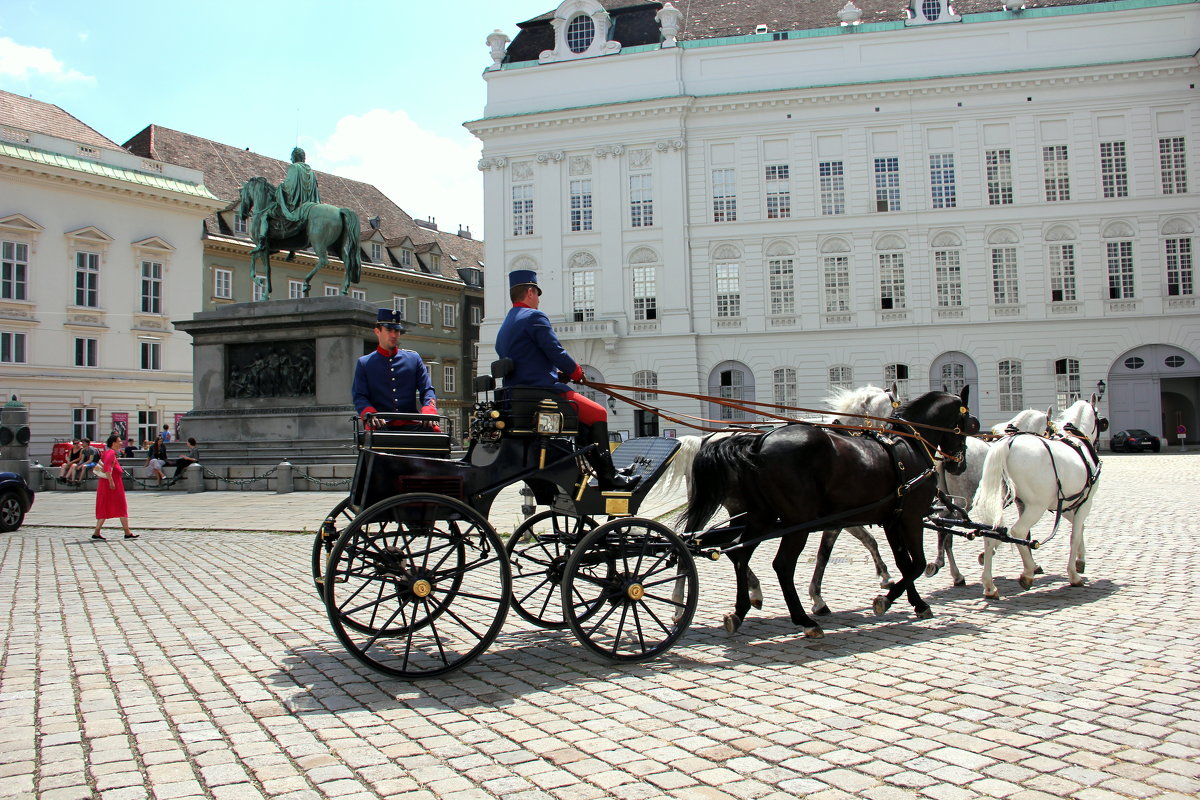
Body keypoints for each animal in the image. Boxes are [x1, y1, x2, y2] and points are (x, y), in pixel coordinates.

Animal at [667, 383, 902, 618]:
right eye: (898, 410)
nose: (897, 441)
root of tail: (706, 441)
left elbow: (865, 541)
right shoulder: (838, 517)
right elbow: (830, 553)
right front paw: (882, 577)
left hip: (736, 509)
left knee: (710, 542)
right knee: (698, 543)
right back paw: (682, 603)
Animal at [686, 388, 974, 638]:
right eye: (970, 423)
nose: (958, 465)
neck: (908, 446)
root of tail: (757, 442)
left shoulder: (890, 520)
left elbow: (904, 563)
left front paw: (915, 602)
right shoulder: (910, 519)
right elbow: (916, 563)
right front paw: (885, 597)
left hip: (760, 517)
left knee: (738, 552)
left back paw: (740, 610)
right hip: (796, 522)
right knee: (781, 565)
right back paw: (803, 620)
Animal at [964, 398, 1104, 597]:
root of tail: (1007, 444)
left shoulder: (1065, 504)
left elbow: (1080, 528)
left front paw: (1080, 560)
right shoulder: (1084, 502)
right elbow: (1075, 535)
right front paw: (1074, 574)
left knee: (990, 533)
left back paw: (989, 585)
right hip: (1037, 506)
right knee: (1018, 531)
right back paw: (1027, 572)